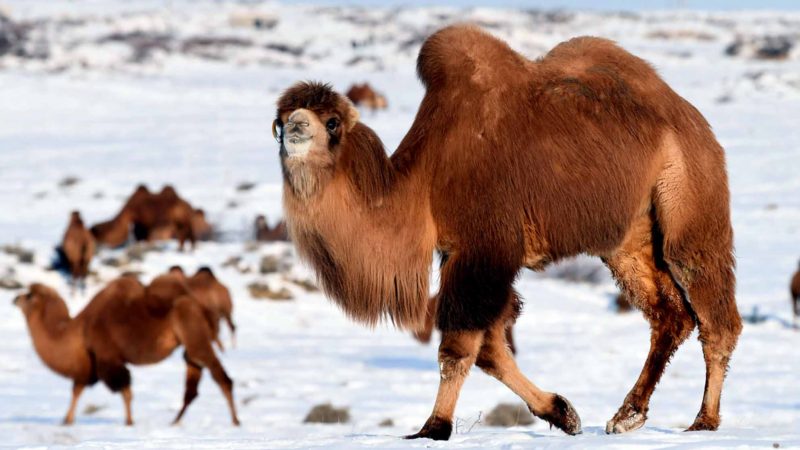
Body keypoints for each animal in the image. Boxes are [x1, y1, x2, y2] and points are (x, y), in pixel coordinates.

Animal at [14, 276, 239, 428]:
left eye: (29, 295)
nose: (15, 298)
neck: (79, 329)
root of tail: (202, 305)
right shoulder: (93, 363)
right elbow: (78, 389)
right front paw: (66, 420)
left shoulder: (107, 357)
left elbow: (124, 390)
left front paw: (129, 422)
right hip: (190, 343)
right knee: (193, 380)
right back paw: (175, 421)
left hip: (193, 330)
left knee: (220, 375)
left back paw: (235, 421)